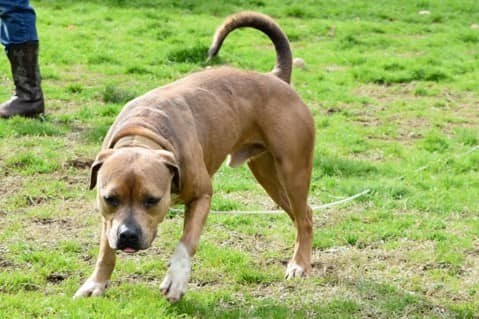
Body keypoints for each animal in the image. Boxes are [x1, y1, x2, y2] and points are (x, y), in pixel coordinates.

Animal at [74, 11, 316, 302]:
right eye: (110, 198)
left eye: (152, 200)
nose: (128, 235)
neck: (144, 133)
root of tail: (277, 77)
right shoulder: (108, 219)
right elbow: (105, 251)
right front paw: (96, 283)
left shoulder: (202, 195)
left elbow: (186, 243)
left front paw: (176, 280)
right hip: (268, 176)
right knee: (301, 214)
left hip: (293, 172)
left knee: (305, 218)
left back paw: (299, 264)